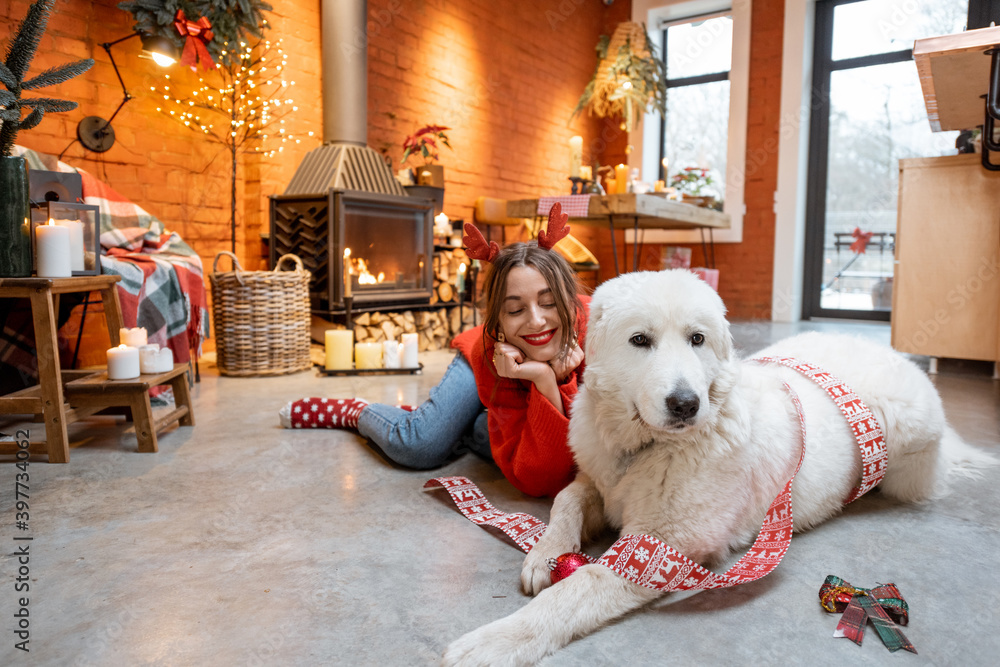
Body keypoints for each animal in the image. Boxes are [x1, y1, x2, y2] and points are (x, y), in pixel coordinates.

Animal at [446, 268, 992, 664]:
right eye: (640, 341)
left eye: (697, 339)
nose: (686, 404)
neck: (649, 447)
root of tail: (899, 358)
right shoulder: (600, 479)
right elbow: (567, 498)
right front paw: (545, 552)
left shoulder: (661, 548)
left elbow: (577, 590)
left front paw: (495, 641)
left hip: (907, 441)